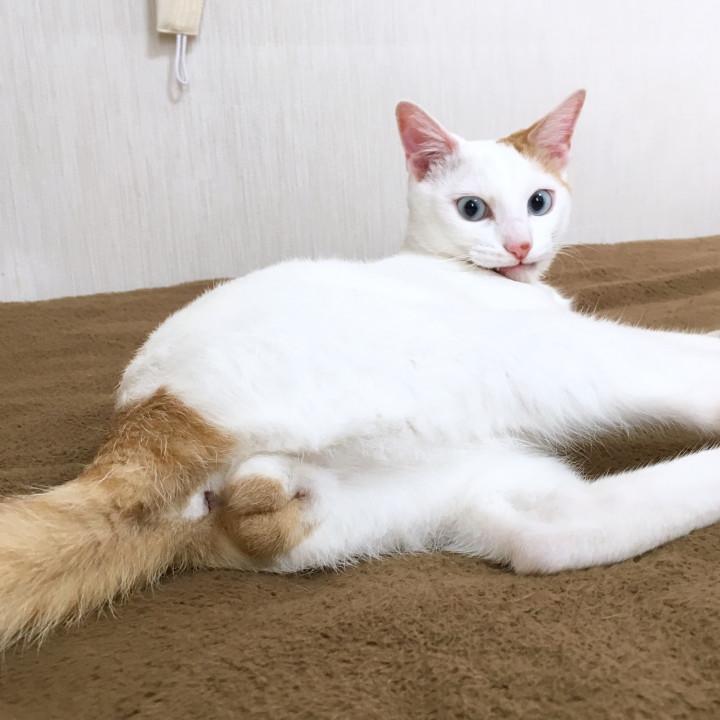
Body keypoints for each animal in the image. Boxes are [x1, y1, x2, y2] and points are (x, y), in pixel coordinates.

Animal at [4, 90, 720, 652]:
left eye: (539, 201)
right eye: (473, 209)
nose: (520, 245)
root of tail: (149, 408)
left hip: (446, 495)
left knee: (551, 539)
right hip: (521, 359)